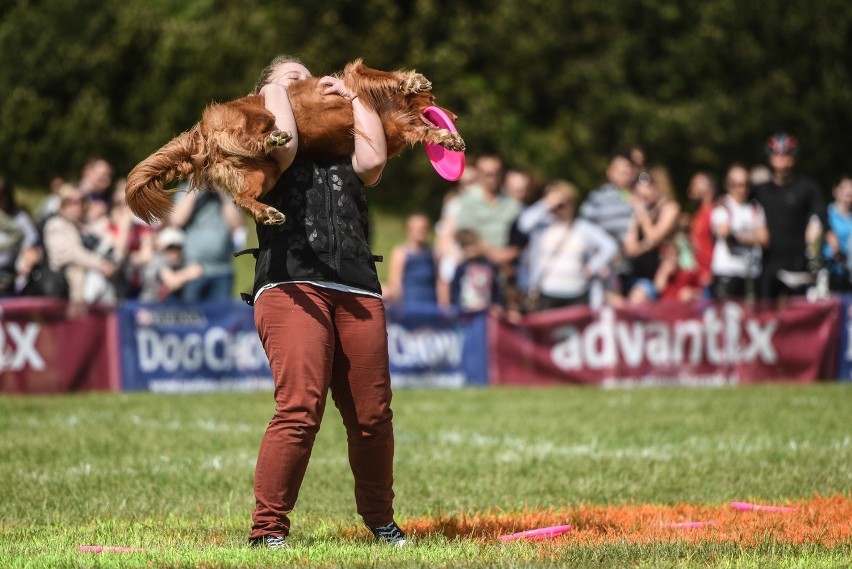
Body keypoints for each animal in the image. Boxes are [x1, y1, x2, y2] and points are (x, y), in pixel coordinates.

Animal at [126, 59, 466, 224]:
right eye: (433, 100)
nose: (455, 116)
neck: (391, 109)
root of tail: (201, 131)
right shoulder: (354, 78)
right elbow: (376, 73)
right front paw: (412, 80)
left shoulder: (397, 128)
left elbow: (423, 132)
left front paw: (448, 138)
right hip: (256, 116)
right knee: (244, 137)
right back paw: (273, 137)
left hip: (263, 173)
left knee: (241, 198)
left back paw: (267, 211)